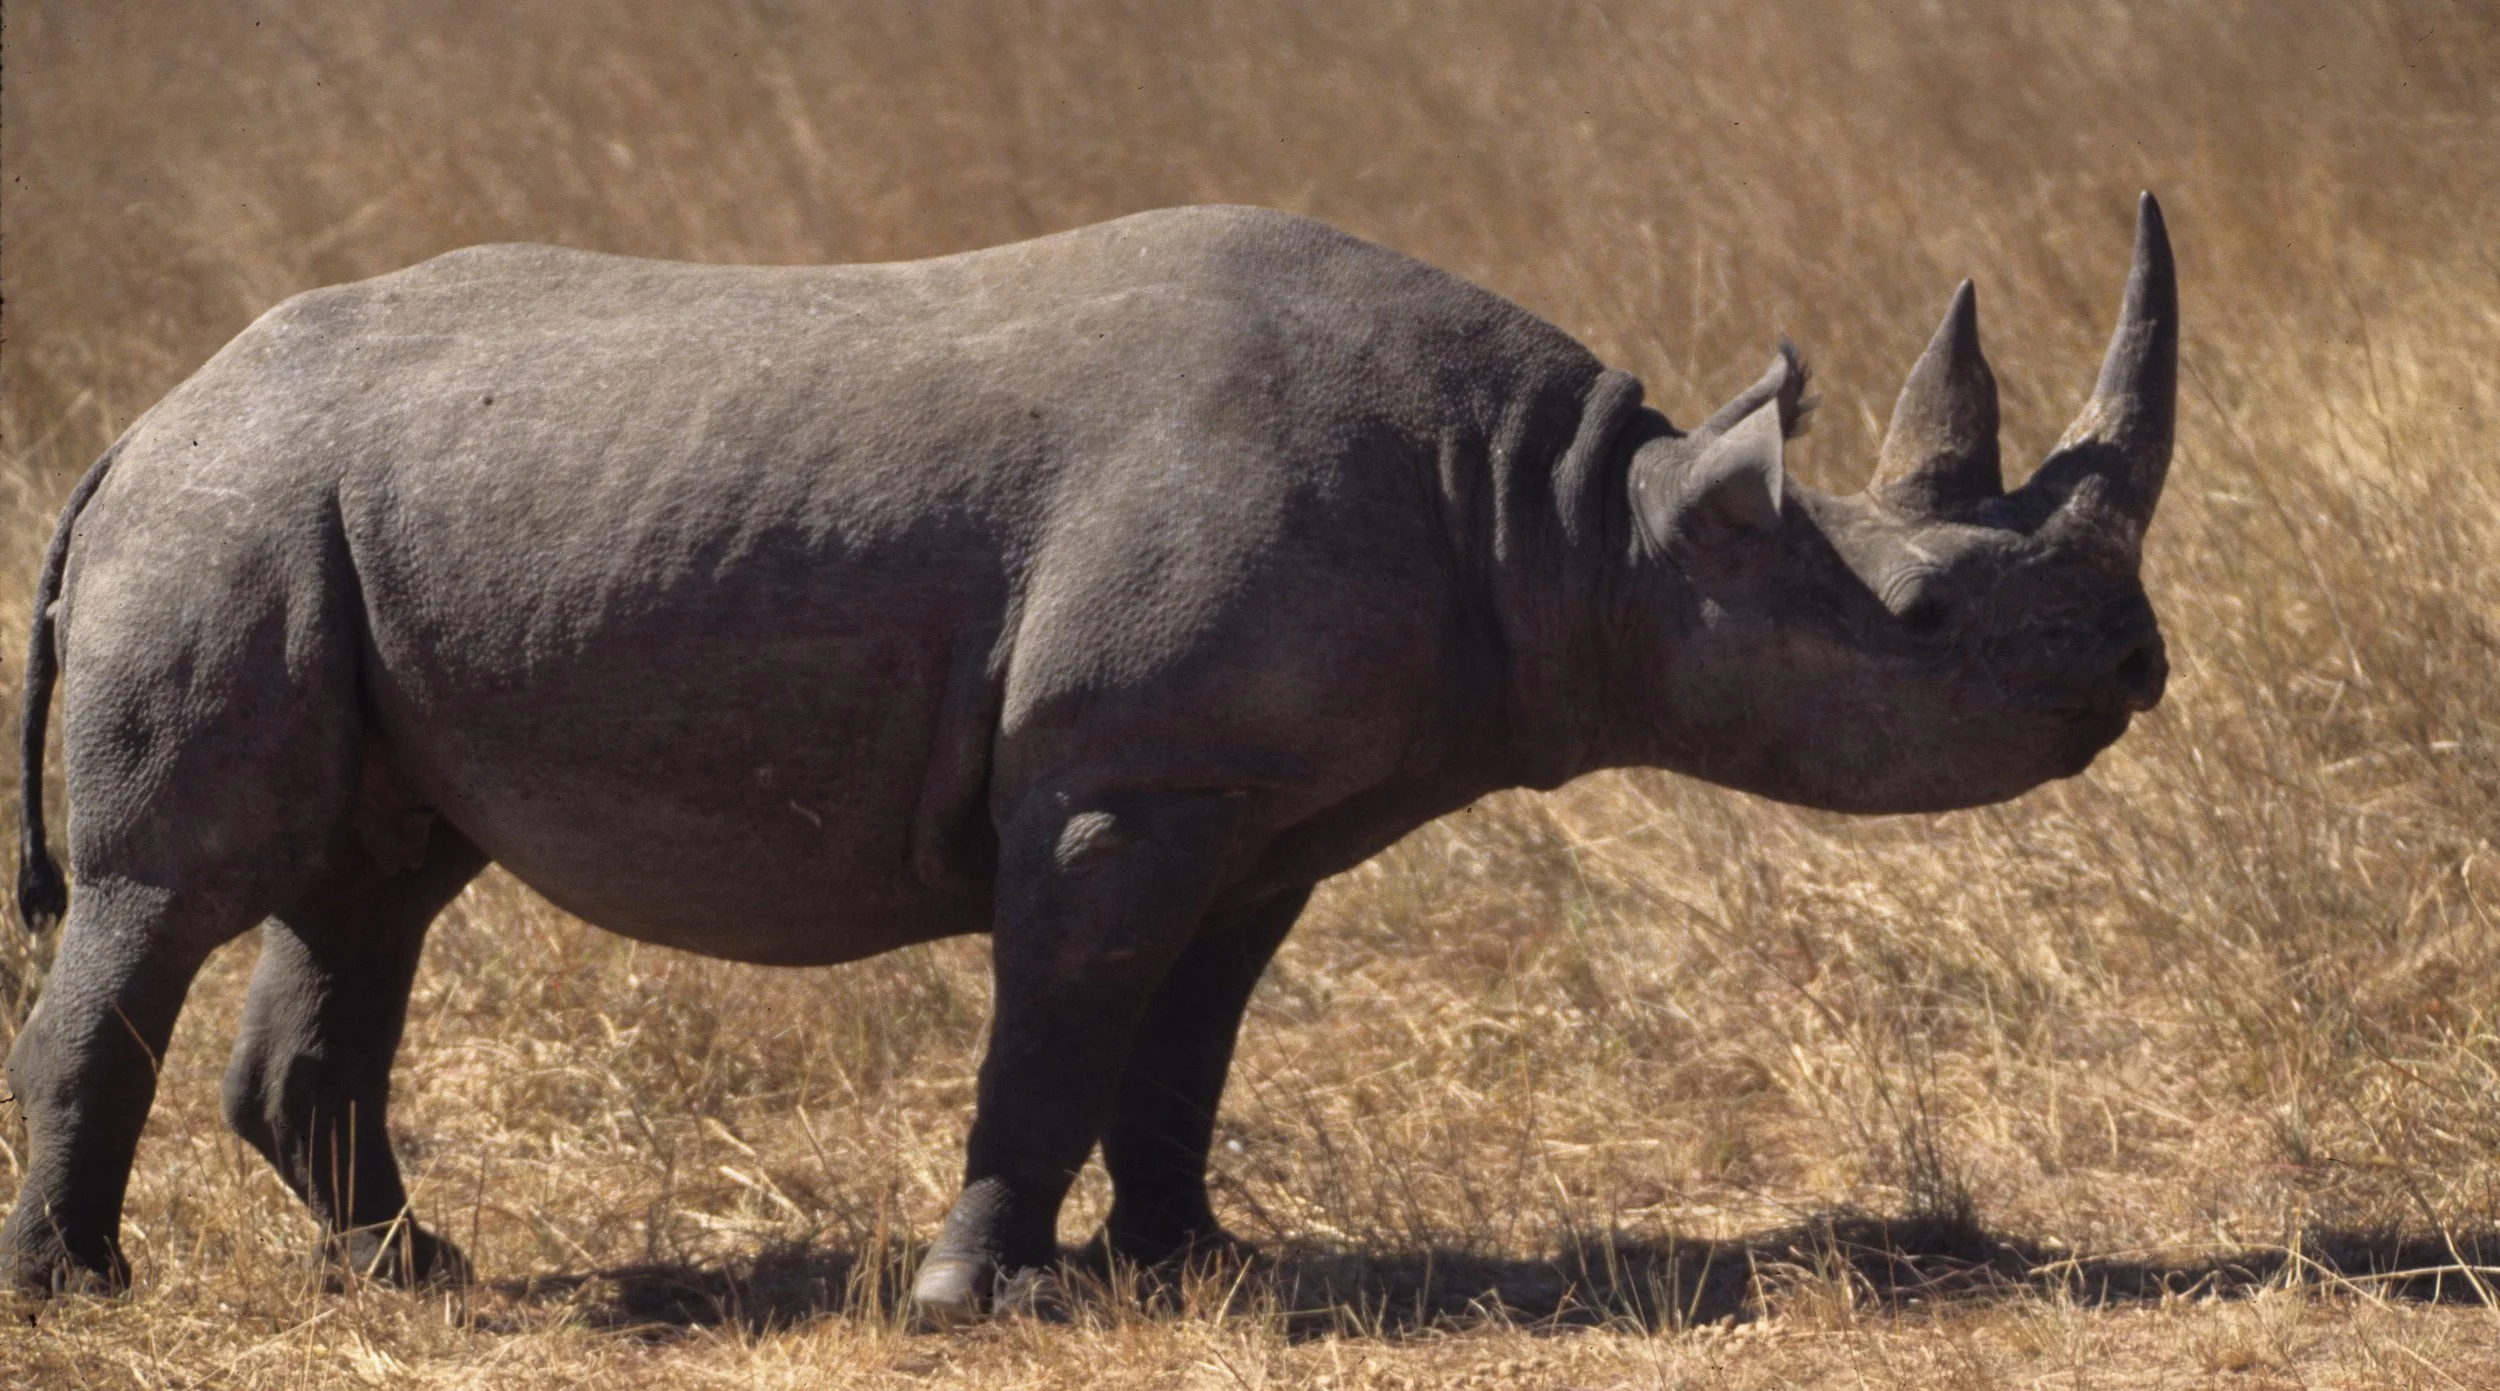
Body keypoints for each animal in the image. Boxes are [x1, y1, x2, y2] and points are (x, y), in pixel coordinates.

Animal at [3, 195, 2176, 1319]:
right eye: (1927, 624)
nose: (2139, 674)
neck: (1580, 517)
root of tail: (130, 429)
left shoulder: (1261, 800)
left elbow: (1182, 1043)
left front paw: (1189, 1259)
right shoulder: (1127, 773)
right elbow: (1052, 1031)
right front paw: (977, 1294)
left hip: (329, 525)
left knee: (369, 884)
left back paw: (422, 1276)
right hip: (230, 515)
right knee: (175, 888)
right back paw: (79, 1292)